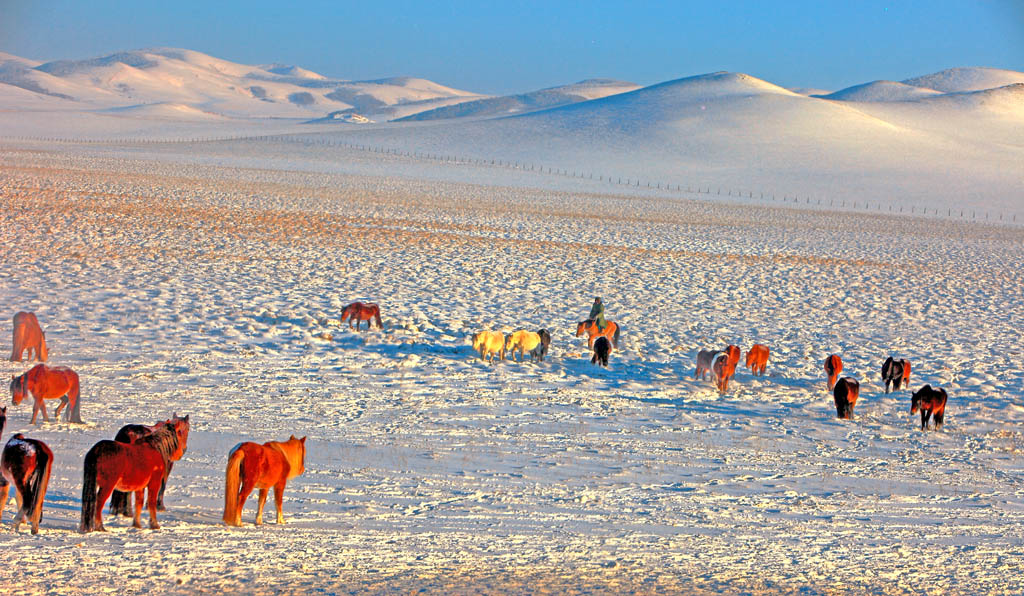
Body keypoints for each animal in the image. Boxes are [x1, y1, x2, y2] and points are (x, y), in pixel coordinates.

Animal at [0, 405, 53, 536]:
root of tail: (37, 449)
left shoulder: (4, 482)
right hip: (41, 481)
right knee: (37, 502)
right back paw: (33, 529)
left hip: (20, 479)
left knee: (28, 500)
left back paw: (15, 523)